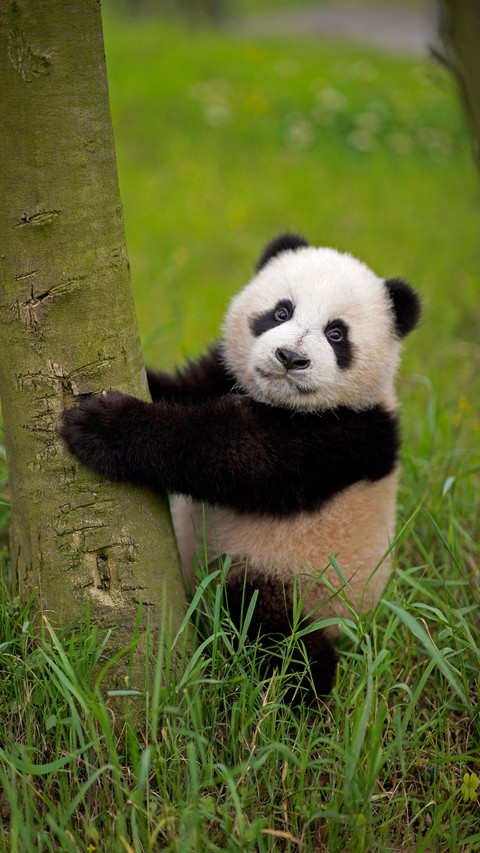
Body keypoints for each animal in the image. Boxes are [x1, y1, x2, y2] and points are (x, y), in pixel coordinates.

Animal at [62, 233, 421, 698]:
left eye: (336, 333)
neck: (277, 400)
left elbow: (239, 457)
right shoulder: (222, 374)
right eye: (281, 311)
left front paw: (105, 426)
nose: (289, 357)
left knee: (268, 629)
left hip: (298, 578)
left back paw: (298, 694)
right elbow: (184, 388)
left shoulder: (346, 435)